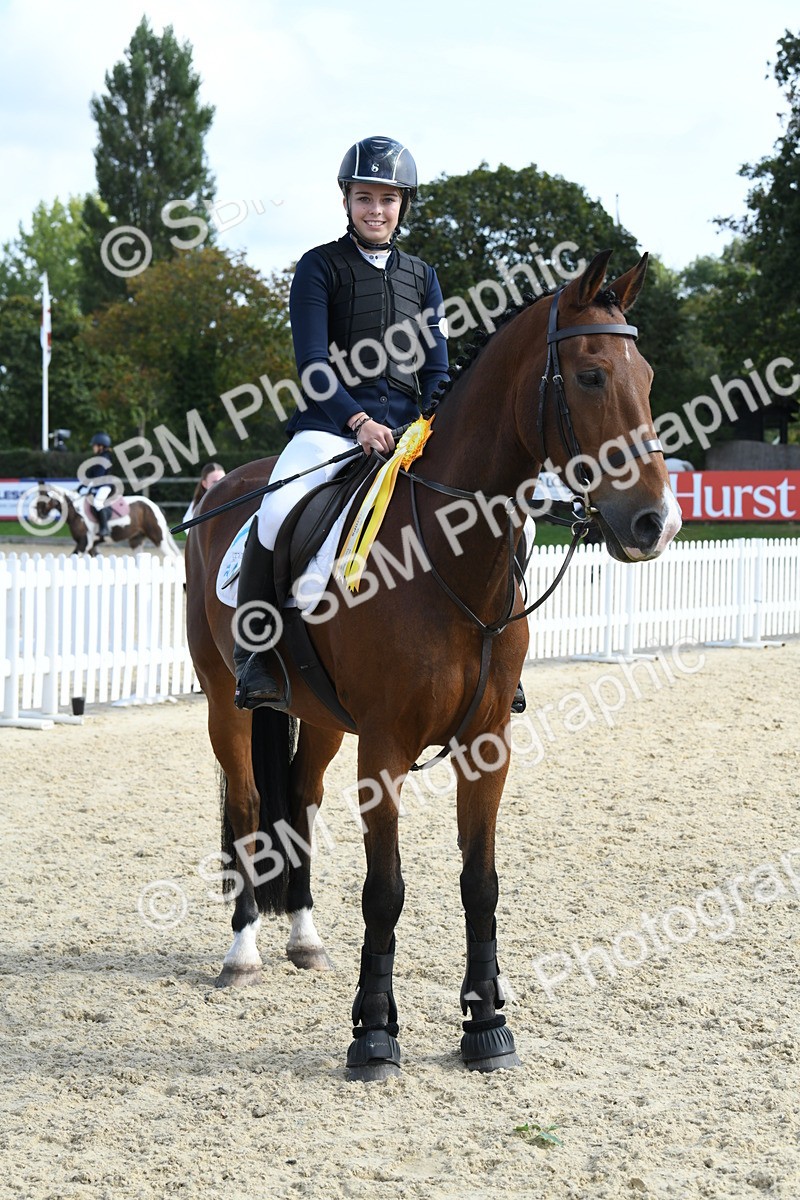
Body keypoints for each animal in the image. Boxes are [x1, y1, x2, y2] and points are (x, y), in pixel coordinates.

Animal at [33, 485, 181, 557]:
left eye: (43, 499)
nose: (37, 515)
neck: (76, 511)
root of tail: (154, 506)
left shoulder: (83, 543)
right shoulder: (91, 545)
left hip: (158, 538)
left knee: (174, 558)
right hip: (136, 541)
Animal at [185, 250, 682, 1080]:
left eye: (646, 376)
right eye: (589, 376)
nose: (653, 523)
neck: (448, 557)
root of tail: (220, 487)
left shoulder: (486, 746)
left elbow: (479, 883)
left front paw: (486, 1026)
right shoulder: (385, 747)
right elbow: (384, 891)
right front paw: (373, 1036)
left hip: (321, 719)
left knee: (302, 802)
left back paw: (304, 938)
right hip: (228, 701)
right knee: (251, 806)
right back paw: (244, 949)